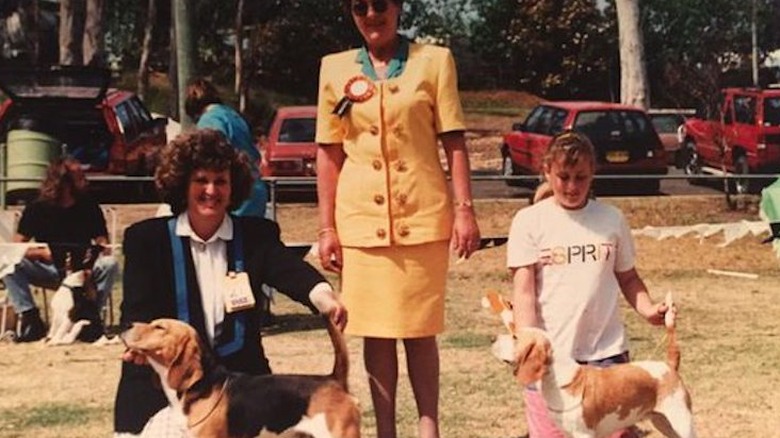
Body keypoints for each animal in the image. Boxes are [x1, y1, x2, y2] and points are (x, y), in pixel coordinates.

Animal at [488, 290, 696, 438]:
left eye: (515, 337)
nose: (492, 339)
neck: (561, 381)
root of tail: (669, 364)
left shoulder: (583, 434)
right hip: (662, 422)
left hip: (682, 421)